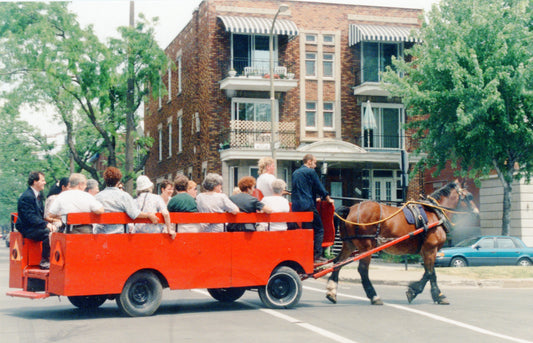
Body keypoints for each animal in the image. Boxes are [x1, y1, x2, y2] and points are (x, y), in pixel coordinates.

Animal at [324, 183, 478, 306]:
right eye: (470, 197)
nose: (477, 213)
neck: (435, 214)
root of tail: (350, 209)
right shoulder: (430, 249)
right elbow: (430, 273)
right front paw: (424, 293)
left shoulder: (426, 251)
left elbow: (430, 272)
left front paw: (429, 294)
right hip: (366, 246)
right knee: (362, 270)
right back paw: (374, 296)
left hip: (350, 244)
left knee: (337, 263)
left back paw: (332, 291)